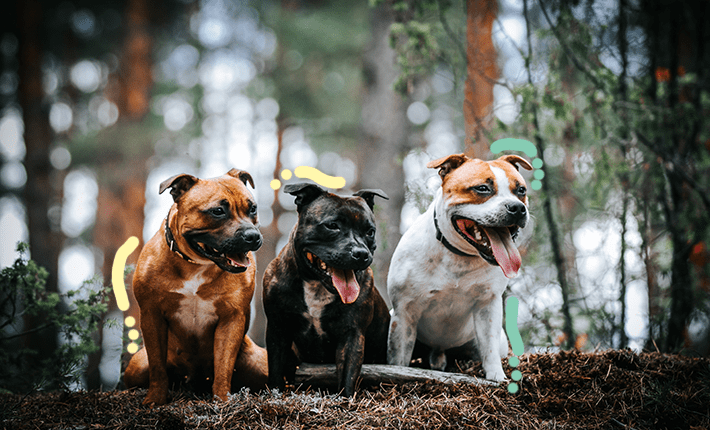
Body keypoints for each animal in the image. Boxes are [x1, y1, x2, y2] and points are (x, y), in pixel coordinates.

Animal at [124, 169, 268, 406]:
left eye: (253, 208)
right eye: (218, 211)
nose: (253, 236)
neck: (196, 264)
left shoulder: (231, 318)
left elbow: (223, 366)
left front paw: (222, 400)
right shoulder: (151, 315)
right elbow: (157, 366)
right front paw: (155, 400)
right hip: (136, 367)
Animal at [390, 153, 536, 382]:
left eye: (521, 190)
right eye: (482, 188)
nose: (517, 208)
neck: (459, 256)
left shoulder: (488, 305)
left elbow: (489, 345)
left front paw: (497, 376)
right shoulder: (404, 312)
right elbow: (399, 357)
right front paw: (398, 372)